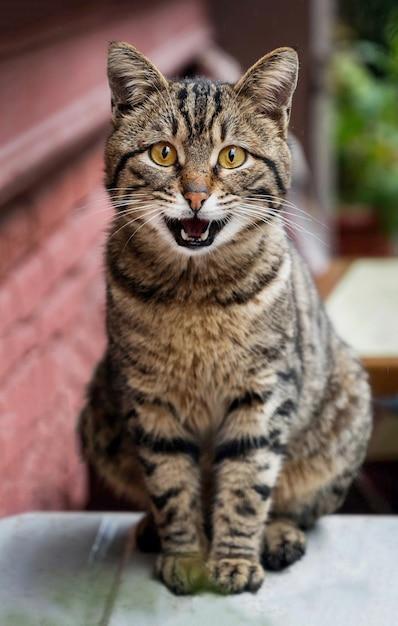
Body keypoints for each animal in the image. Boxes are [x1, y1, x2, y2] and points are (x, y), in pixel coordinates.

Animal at [78, 41, 374, 592]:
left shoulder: (263, 392)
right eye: (163, 153)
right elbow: (172, 485)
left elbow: (246, 483)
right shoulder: (150, 399)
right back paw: (152, 530)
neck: (196, 296)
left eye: (231, 156)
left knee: (296, 506)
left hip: (341, 419)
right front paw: (185, 555)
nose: (195, 195)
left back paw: (277, 535)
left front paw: (233, 560)